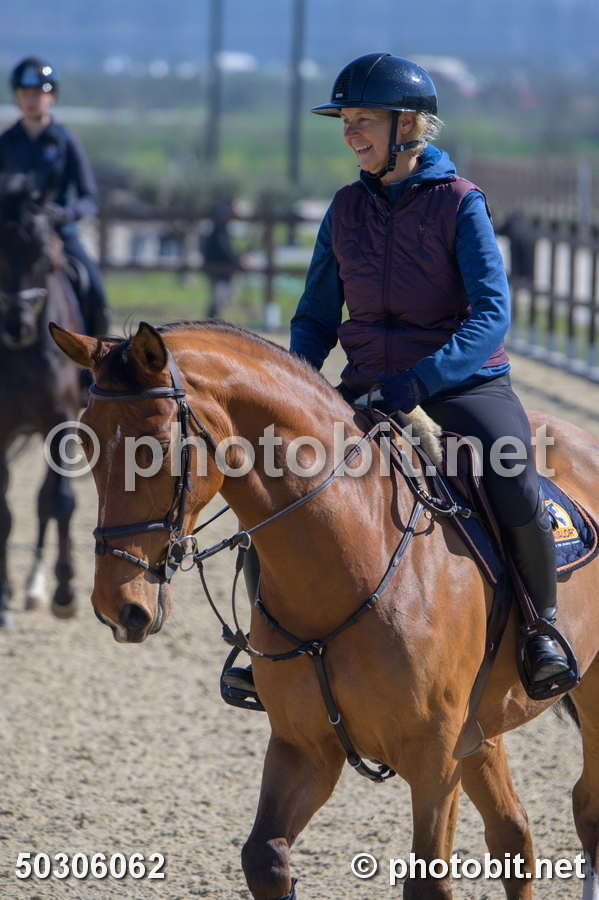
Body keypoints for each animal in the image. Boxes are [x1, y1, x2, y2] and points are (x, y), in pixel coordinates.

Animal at [50, 319, 599, 900]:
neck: (358, 553)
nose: (118, 606)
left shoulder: (433, 759)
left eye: (154, 446)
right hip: (480, 731)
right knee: (513, 834)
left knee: (585, 810)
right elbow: (265, 859)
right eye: (84, 440)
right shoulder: (303, 747)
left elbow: (427, 880)